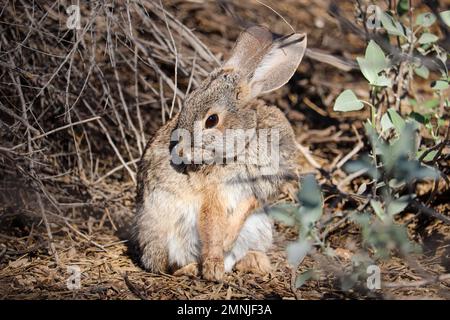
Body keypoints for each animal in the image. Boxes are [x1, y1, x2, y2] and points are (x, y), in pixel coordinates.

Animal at [133, 25, 306, 280]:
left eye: (212, 120)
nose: (180, 152)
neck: (247, 139)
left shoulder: (255, 194)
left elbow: (238, 216)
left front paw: (225, 246)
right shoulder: (214, 193)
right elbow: (212, 227)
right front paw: (213, 269)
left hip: (260, 228)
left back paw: (255, 262)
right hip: (165, 229)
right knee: (168, 265)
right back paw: (195, 268)